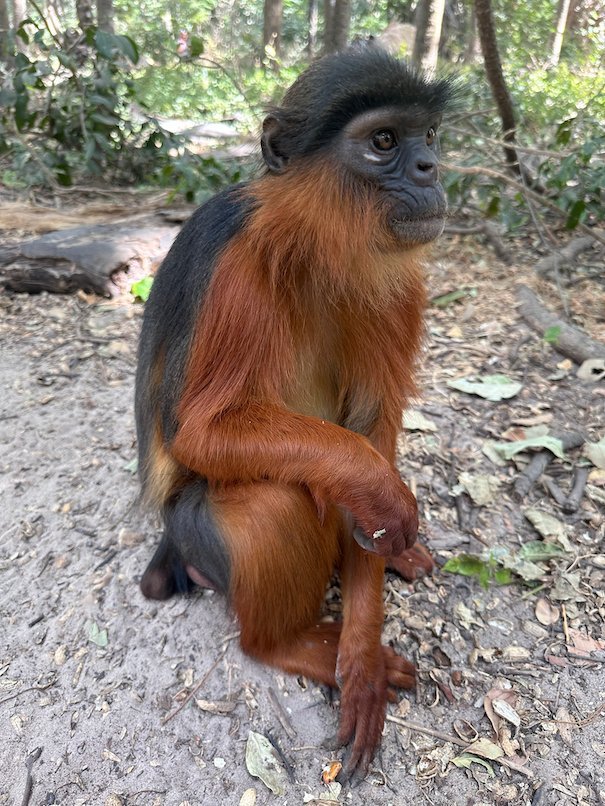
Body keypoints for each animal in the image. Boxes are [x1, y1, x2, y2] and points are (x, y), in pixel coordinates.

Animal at [135, 46, 452, 781]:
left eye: (426, 136)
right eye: (384, 142)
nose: (431, 167)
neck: (311, 247)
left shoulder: (398, 283)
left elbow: (371, 435)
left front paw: (360, 659)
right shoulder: (233, 260)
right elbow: (201, 433)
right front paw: (376, 490)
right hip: (196, 534)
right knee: (275, 501)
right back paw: (286, 645)